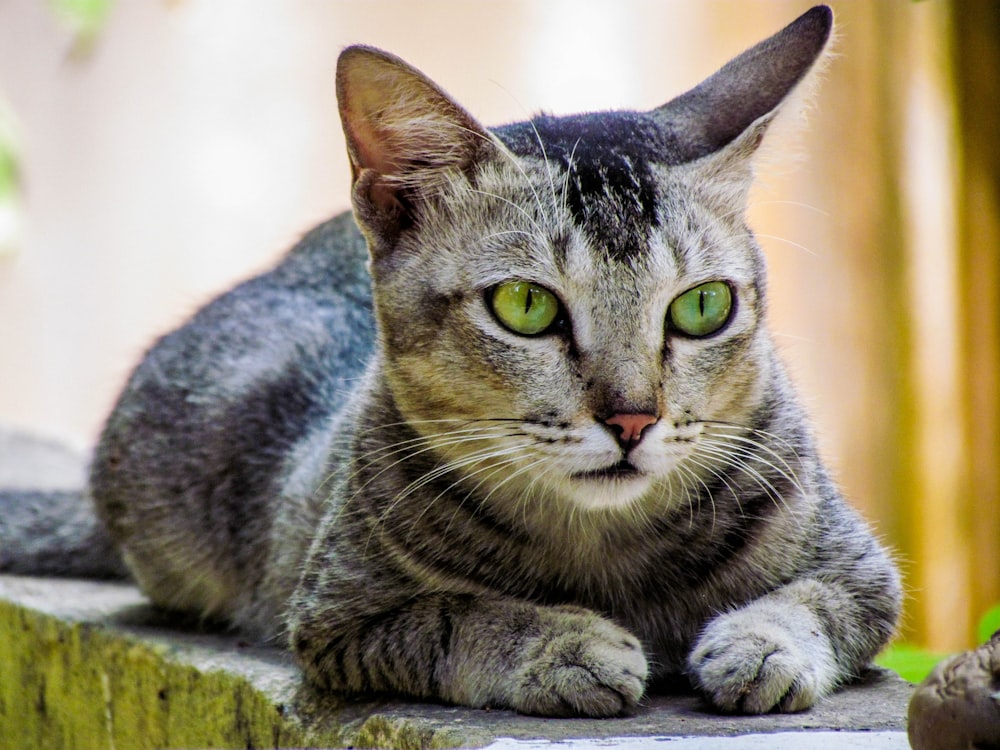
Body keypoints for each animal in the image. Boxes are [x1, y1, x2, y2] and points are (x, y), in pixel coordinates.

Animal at [0, 5, 904, 724]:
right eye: (526, 306)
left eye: (703, 306)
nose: (633, 418)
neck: (604, 547)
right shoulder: (338, 618)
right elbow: (455, 618)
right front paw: (559, 645)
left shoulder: (866, 572)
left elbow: (815, 600)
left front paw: (758, 643)